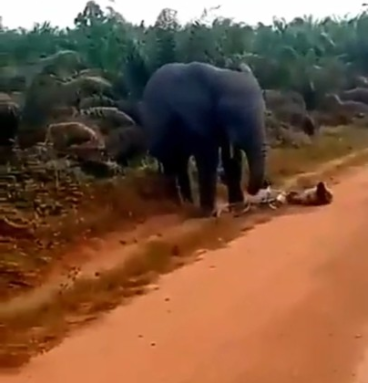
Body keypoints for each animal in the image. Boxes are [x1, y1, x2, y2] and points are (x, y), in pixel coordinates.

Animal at [139, 61, 266, 214]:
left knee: (180, 164)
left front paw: (237, 205)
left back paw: (187, 204)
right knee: (170, 163)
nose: (250, 188)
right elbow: (208, 158)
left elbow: (231, 159)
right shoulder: (197, 117)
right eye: (233, 116)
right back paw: (175, 206)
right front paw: (209, 212)